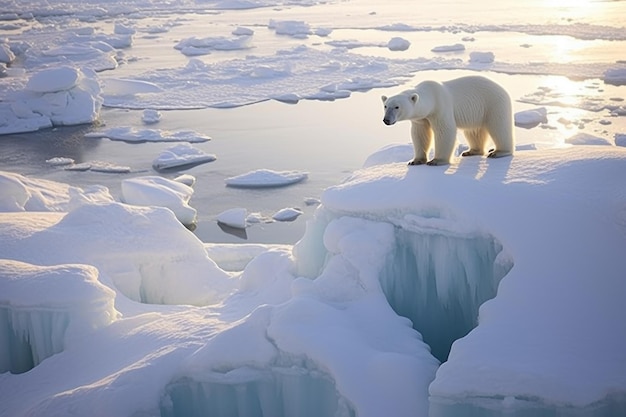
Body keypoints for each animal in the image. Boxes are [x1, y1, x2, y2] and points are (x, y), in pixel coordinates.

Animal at [380, 74, 512, 165]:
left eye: (397, 107)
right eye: (385, 106)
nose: (386, 120)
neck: (431, 96)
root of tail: (502, 88)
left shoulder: (440, 108)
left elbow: (444, 130)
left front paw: (436, 161)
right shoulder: (421, 118)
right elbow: (419, 134)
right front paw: (415, 161)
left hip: (493, 103)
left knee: (499, 126)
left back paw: (498, 152)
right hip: (477, 111)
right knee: (473, 130)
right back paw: (471, 151)